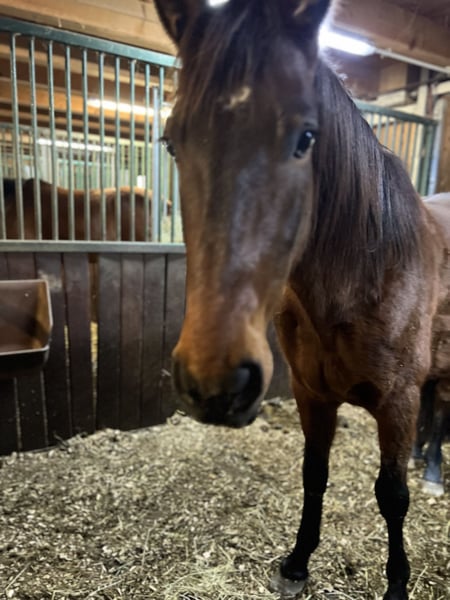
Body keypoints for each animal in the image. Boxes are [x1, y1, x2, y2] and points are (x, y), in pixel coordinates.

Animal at [154, 1, 449, 599]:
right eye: (173, 140)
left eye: (306, 136)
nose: (215, 383)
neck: (364, 278)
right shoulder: (312, 394)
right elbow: (315, 472)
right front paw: (297, 561)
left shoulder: (398, 402)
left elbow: (392, 496)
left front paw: (397, 584)